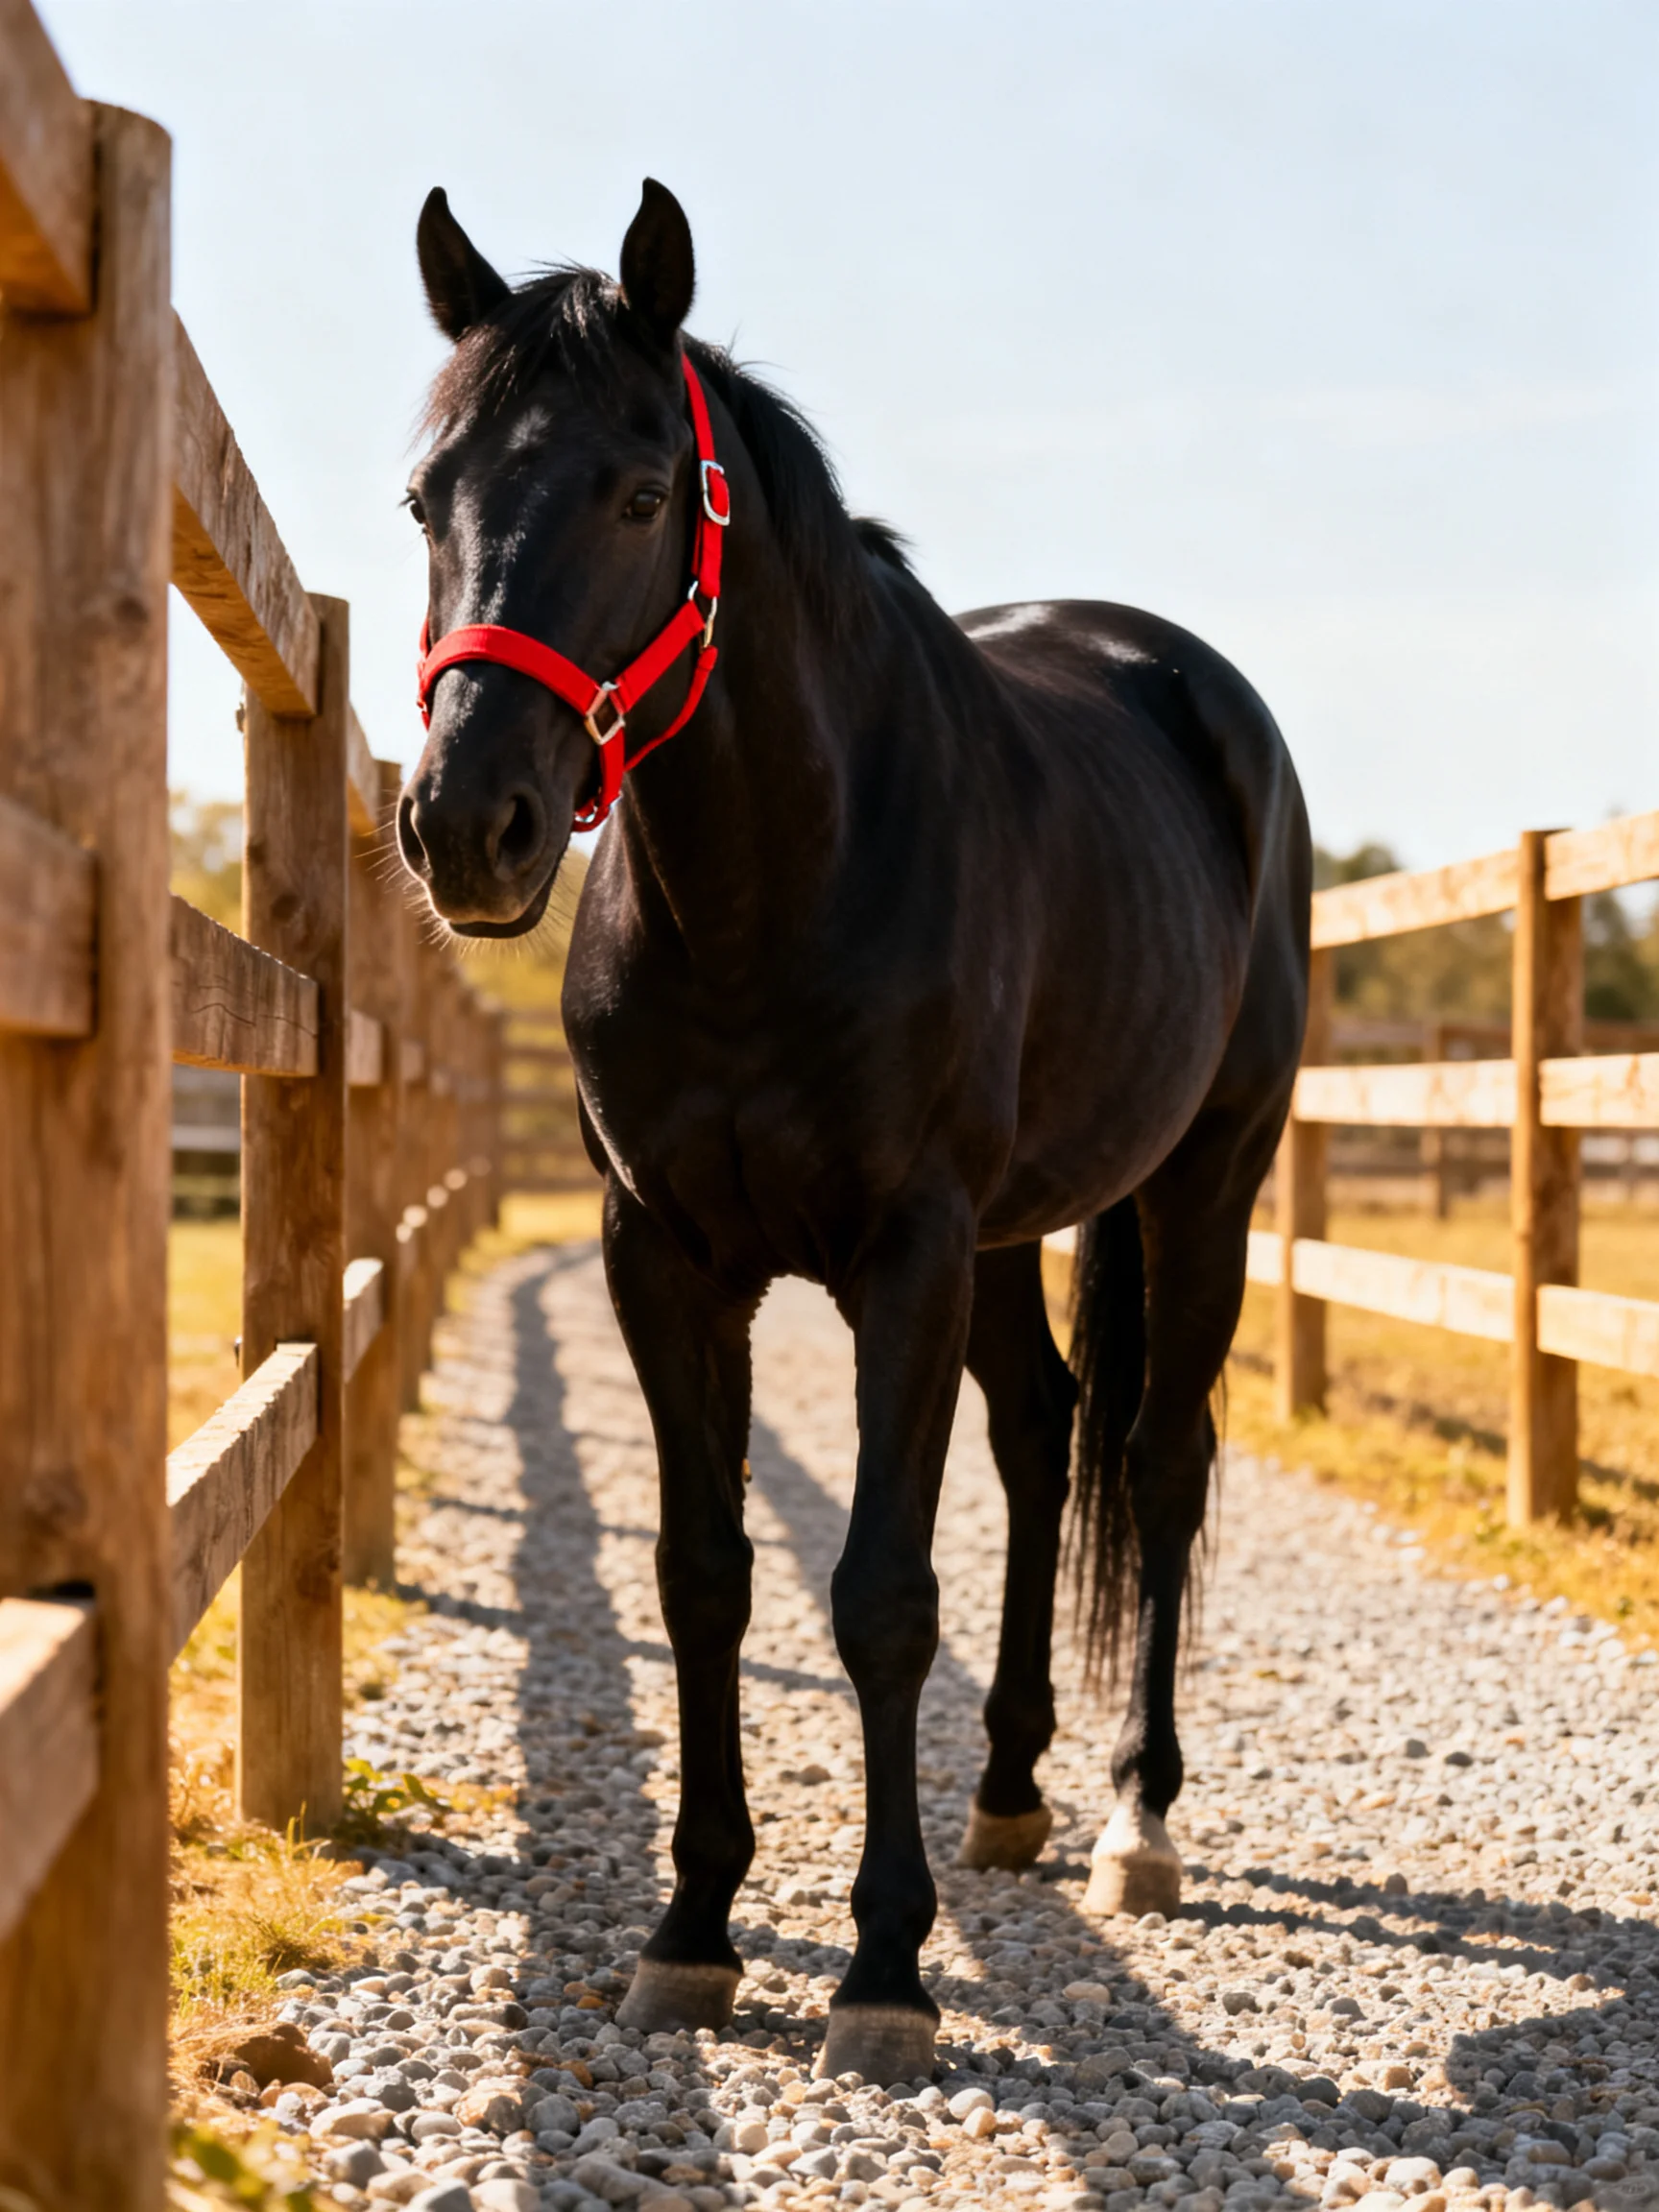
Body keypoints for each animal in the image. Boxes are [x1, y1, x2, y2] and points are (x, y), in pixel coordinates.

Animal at [397, 177, 1311, 2085]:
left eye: (640, 492)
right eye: (424, 497)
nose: (466, 823)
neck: (778, 880)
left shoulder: (899, 1250)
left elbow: (880, 1591)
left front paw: (884, 1963)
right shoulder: (665, 1255)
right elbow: (701, 1577)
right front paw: (689, 1930)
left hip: (1206, 1175)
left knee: (1160, 1456)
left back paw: (1137, 1818)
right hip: (1015, 1231)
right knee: (1044, 1432)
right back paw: (1012, 1786)